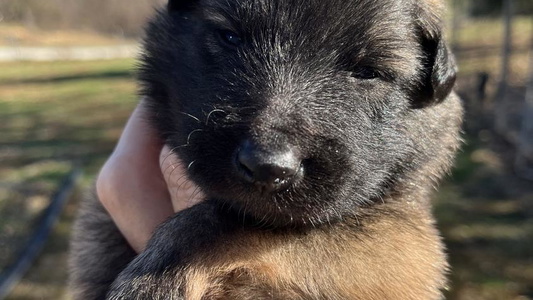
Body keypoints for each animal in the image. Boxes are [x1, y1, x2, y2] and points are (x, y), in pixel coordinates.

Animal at [69, 0, 462, 298]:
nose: (267, 167)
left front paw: (155, 279)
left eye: (368, 72)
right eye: (230, 37)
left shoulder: (397, 240)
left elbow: (232, 222)